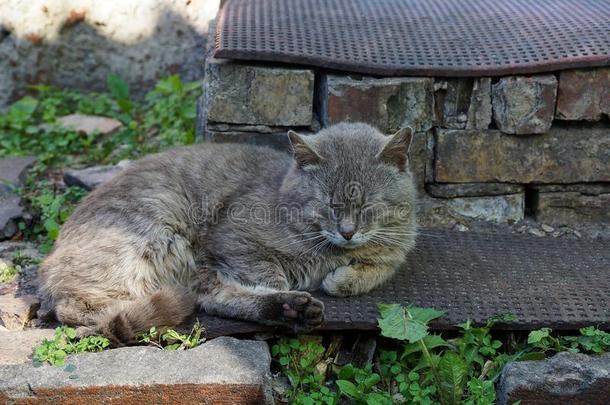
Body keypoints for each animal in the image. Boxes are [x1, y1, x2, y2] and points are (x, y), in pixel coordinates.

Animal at [39, 121, 418, 342]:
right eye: (329, 204)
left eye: (367, 205)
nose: (348, 232)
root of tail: (49, 263)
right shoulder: (234, 239)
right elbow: (268, 273)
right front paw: (300, 283)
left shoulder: (395, 248)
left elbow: (380, 266)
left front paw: (344, 278)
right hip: (155, 230)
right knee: (83, 310)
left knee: (212, 298)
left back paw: (291, 310)